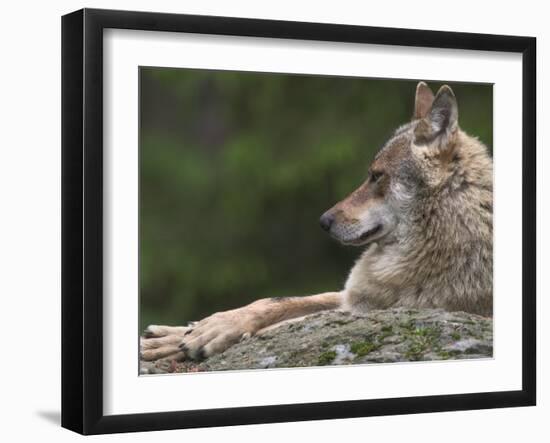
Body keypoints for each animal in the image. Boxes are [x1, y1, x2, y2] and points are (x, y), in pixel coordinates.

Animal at [140, 82, 494, 364]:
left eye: (376, 176)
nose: (323, 221)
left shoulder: (374, 308)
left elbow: (282, 324)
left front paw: (203, 335)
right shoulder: (351, 297)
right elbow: (273, 301)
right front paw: (185, 331)